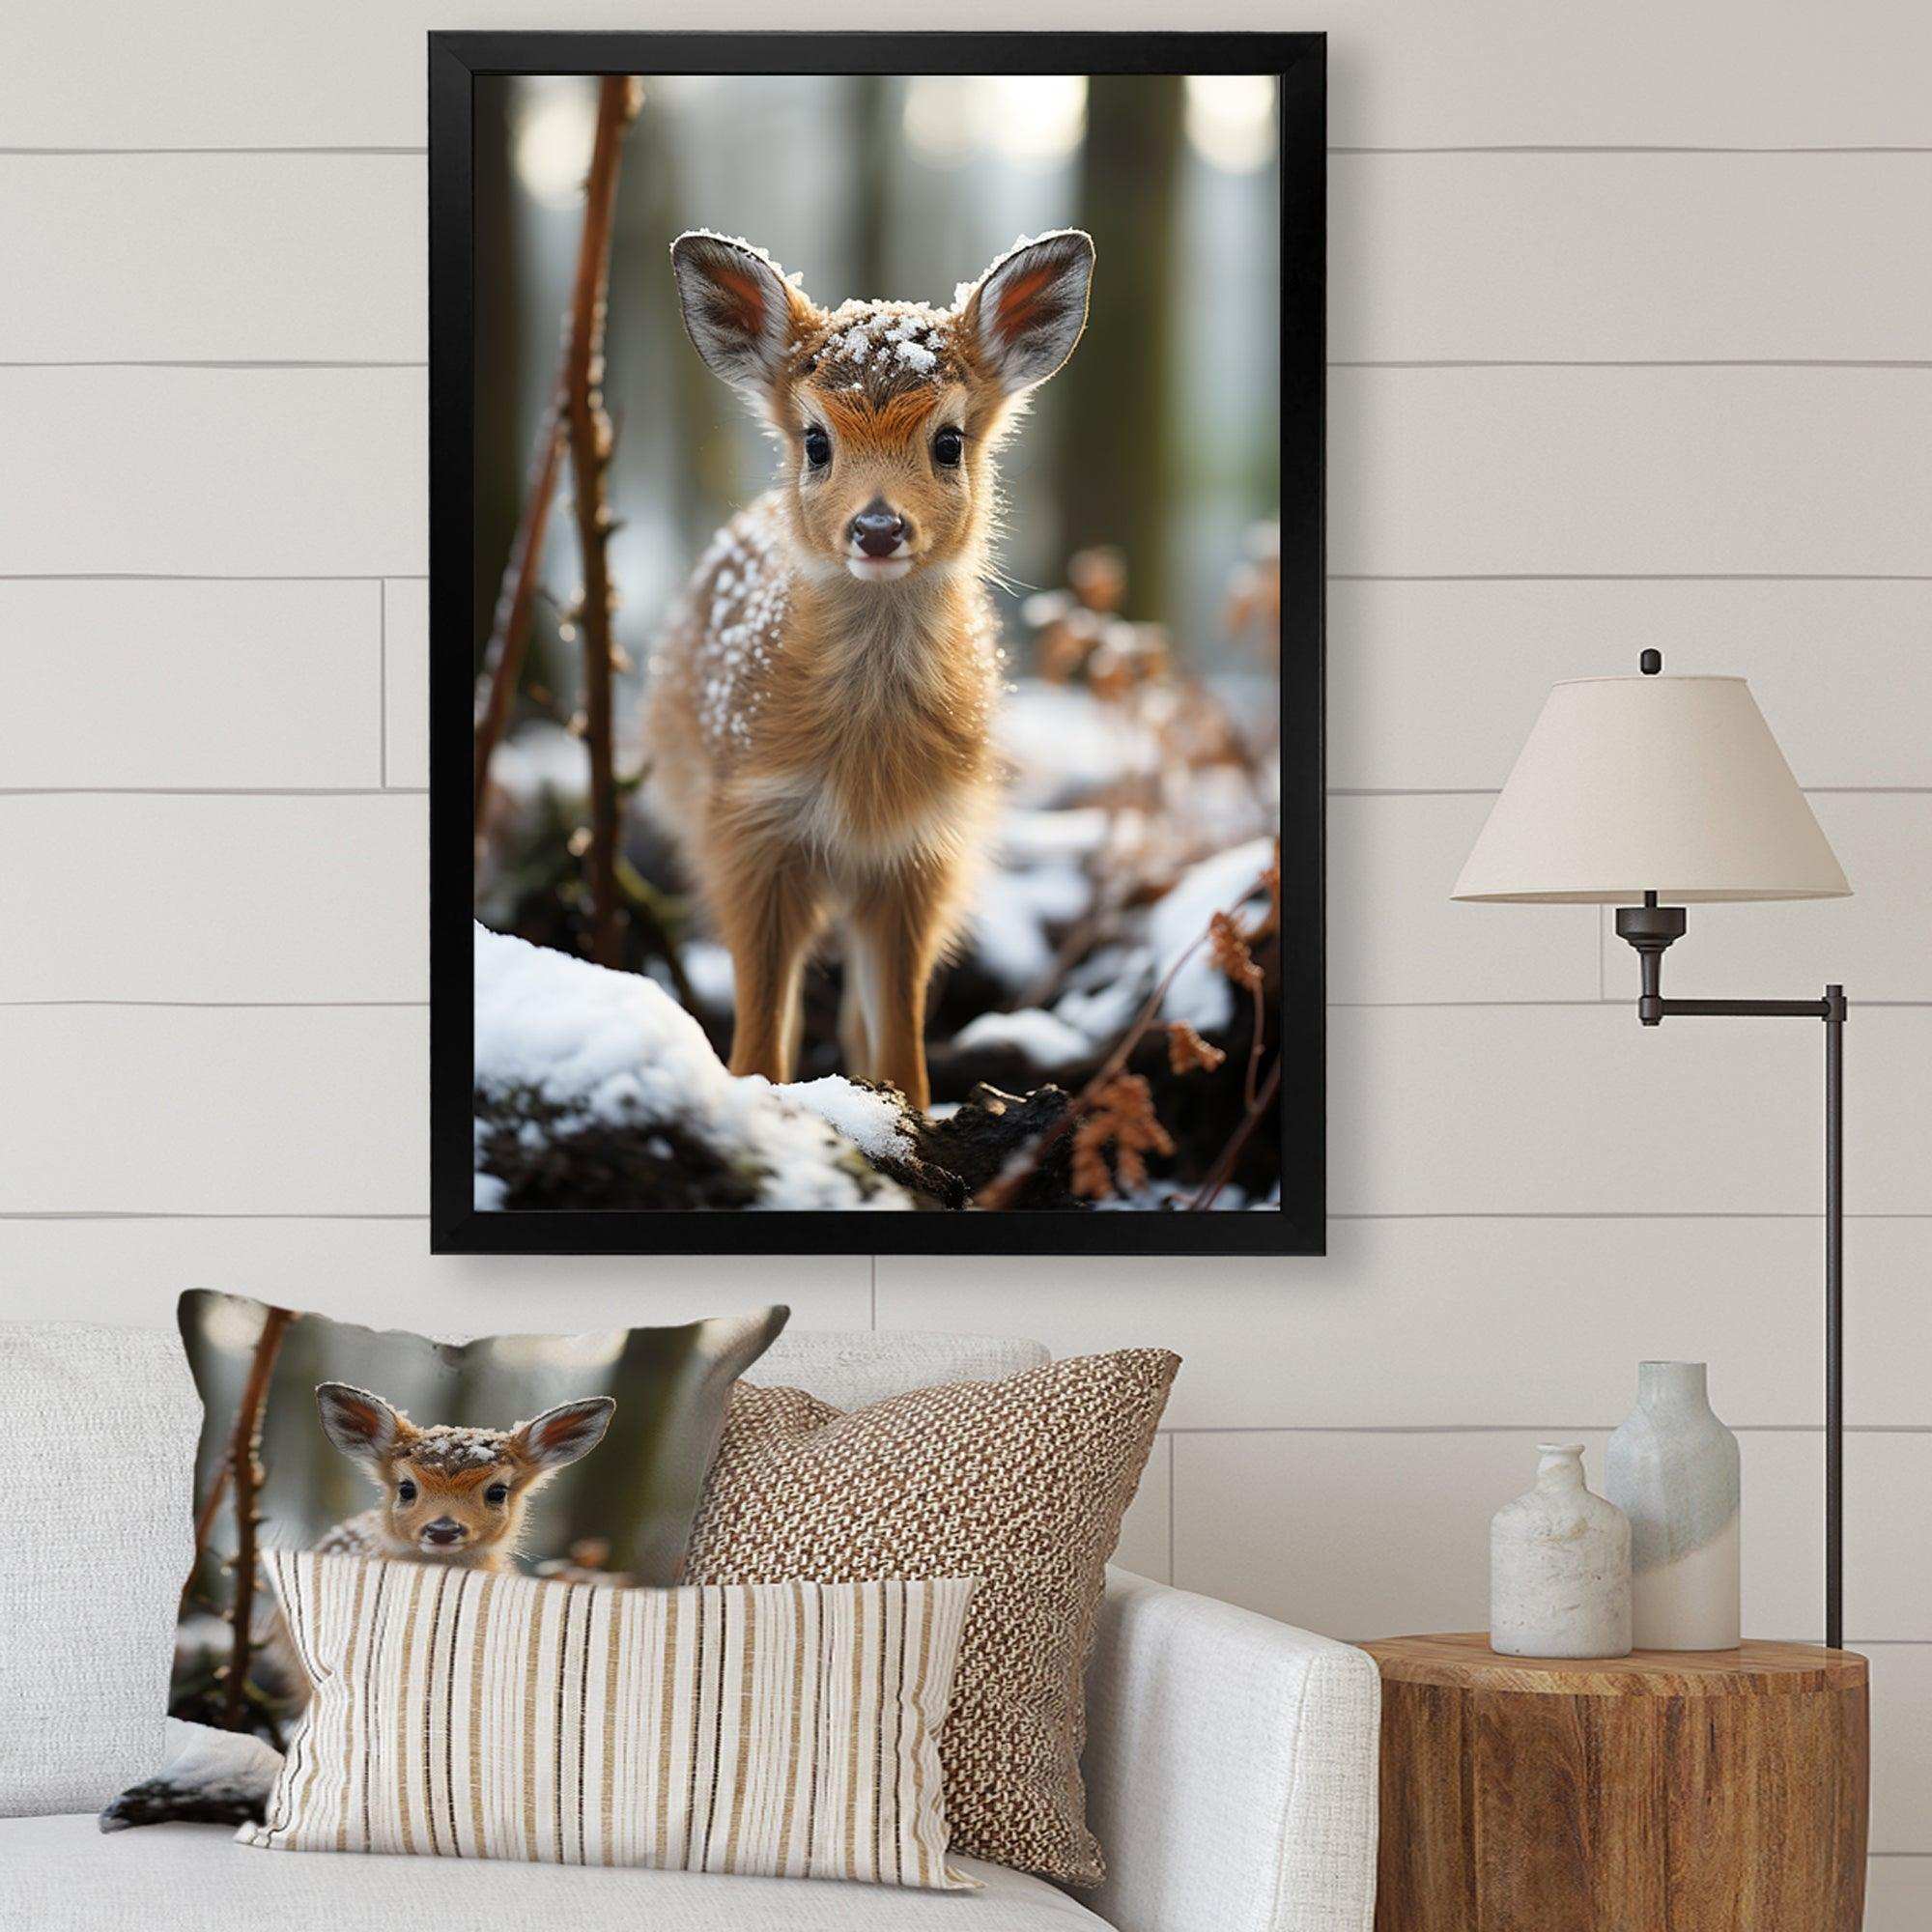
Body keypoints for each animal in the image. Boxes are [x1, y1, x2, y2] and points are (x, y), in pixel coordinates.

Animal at [642, 228, 1097, 1113]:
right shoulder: (747, 828)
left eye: (949, 441)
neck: (863, 772)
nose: (879, 527)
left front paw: (909, 1118)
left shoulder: (921, 852)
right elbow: (760, 1031)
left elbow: (900, 1030)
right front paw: (767, 1108)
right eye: (817, 440)